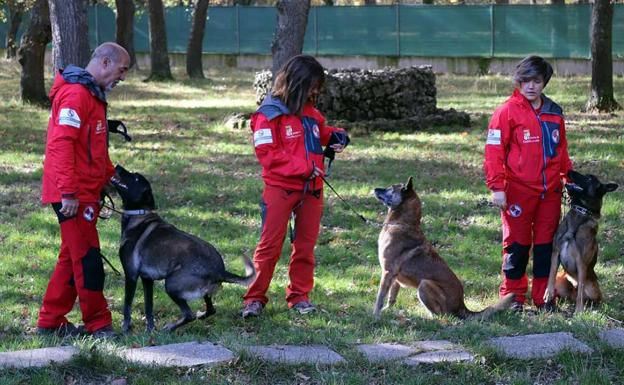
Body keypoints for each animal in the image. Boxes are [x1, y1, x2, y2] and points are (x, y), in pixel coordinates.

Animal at [111, 164, 256, 330]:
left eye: (135, 177)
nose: (117, 166)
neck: (139, 214)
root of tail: (219, 270)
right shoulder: (147, 280)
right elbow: (149, 307)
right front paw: (150, 329)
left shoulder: (131, 276)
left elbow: (127, 306)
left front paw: (125, 329)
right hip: (203, 292)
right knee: (210, 310)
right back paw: (199, 316)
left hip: (171, 284)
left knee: (189, 314)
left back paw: (170, 328)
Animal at [372, 176, 516, 318]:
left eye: (391, 188)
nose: (374, 189)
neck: (402, 223)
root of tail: (461, 306)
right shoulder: (394, 277)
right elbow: (392, 297)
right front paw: (387, 310)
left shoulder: (387, 272)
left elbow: (380, 297)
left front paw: (375, 315)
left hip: (424, 284)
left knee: (441, 315)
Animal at [544, 170, 616, 310]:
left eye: (589, 179)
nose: (569, 171)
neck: (581, 212)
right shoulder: (556, 253)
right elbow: (551, 273)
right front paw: (548, 293)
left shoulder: (581, 263)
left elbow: (581, 292)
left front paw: (579, 310)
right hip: (562, 283)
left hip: (594, 290)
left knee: (586, 295)